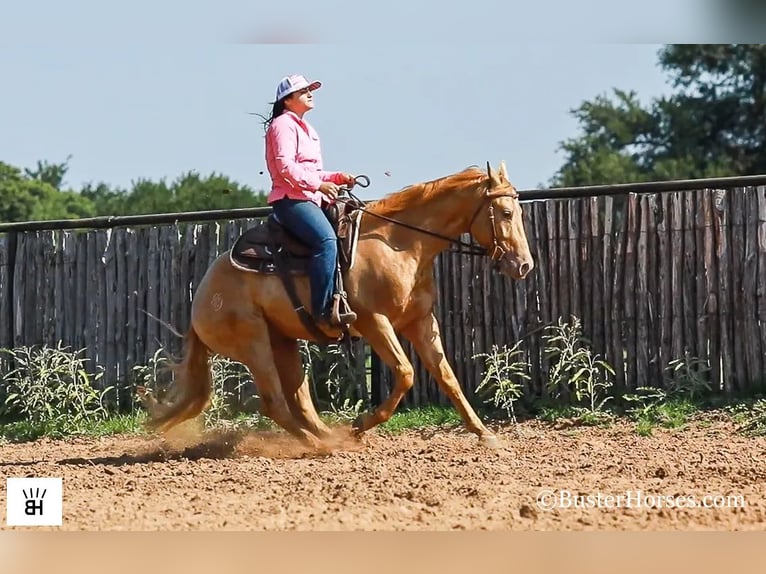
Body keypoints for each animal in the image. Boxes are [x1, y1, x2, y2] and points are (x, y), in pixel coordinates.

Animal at [148, 161, 536, 450]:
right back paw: (322, 445)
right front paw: (362, 423)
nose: (524, 265)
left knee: (300, 400)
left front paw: (485, 434)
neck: (400, 243)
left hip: (282, 342)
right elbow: (406, 373)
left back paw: (328, 437)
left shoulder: (421, 321)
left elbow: (448, 378)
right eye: (504, 212)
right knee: (276, 402)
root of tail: (202, 296)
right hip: (253, 343)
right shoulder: (373, 321)